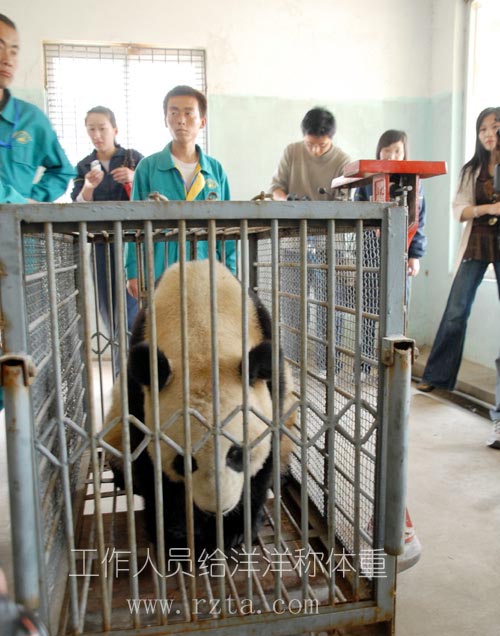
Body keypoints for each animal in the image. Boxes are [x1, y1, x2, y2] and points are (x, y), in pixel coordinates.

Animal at [103, 259, 296, 556]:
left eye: (237, 453)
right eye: (183, 461)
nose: (218, 509)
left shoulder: (272, 378)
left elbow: (268, 454)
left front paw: (236, 529)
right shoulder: (139, 386)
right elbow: (149, 461)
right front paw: (175, 534)